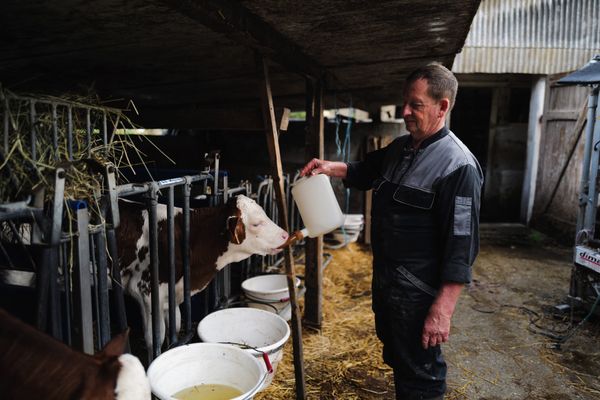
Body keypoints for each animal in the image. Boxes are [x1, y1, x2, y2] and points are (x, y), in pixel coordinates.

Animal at [116, 195, 290, 352]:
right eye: (256, 223)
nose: (286, 235)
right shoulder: (146, 291)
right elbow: (154, 339)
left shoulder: (171, 295)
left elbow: (175, 325)